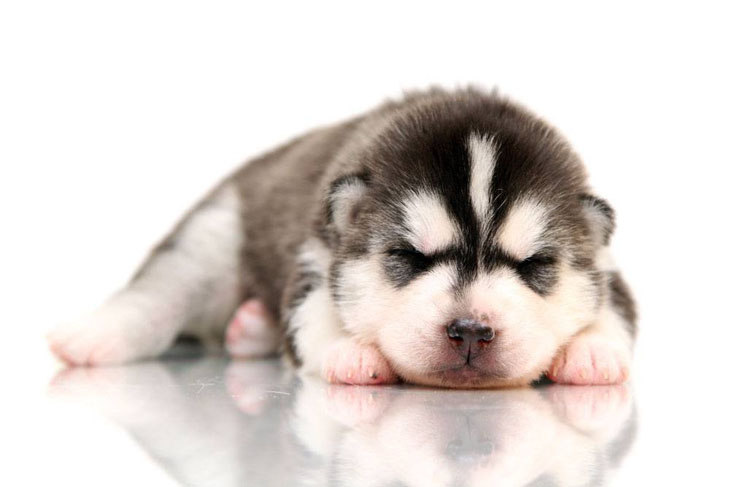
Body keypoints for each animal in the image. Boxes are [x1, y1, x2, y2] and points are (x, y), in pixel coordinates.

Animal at [48, 86, 636, 386]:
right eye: (408, 256)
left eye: (534, 266)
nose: (470, 331)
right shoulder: (316, 255)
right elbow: (311, 316)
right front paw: (352, 353)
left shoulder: (609, 268)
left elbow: (616, 314)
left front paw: (592, 351)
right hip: (213, 236)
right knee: (159, 294)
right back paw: (94, 337)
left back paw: (250, 330)